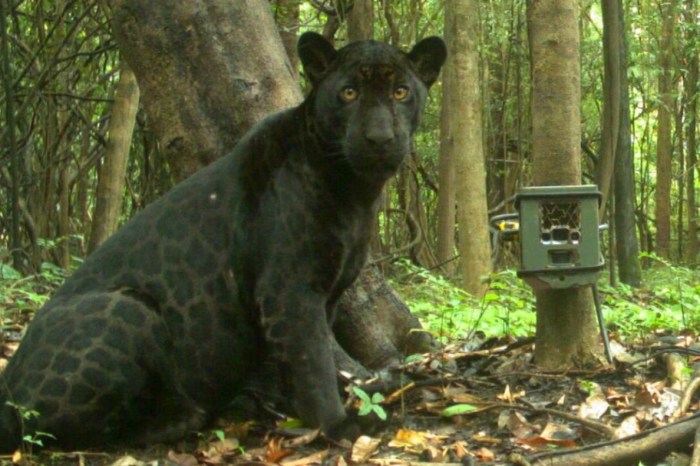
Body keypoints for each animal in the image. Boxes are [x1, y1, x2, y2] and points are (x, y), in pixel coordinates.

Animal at [0, 31, 446, 450]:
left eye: (400, 92)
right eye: (348, 93)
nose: (379, 138)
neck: (354, 190)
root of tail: (6, 388)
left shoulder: (329, 293)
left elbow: (299, 357)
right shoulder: (290, 290)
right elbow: (312, 359)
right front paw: (337, 425)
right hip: (129, 309)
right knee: (64, 430)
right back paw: (183, 416)